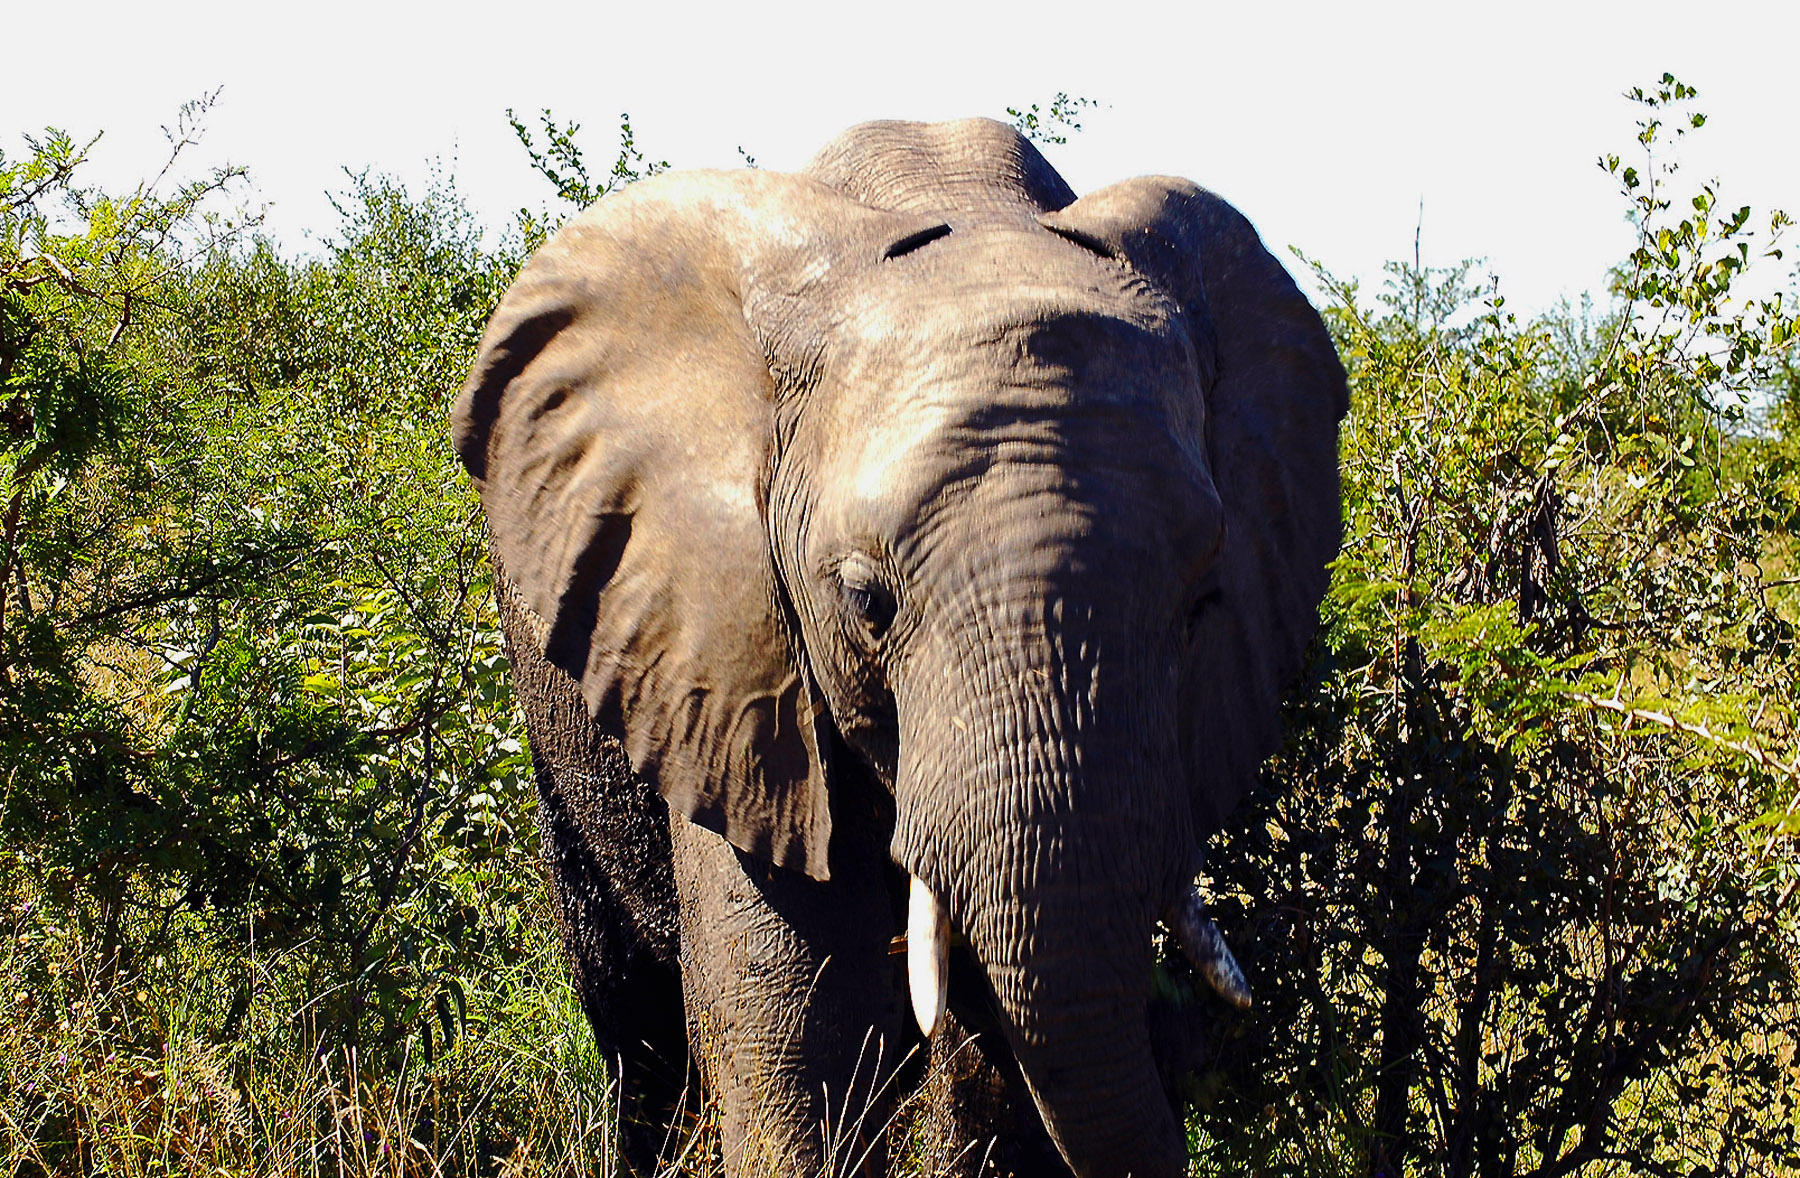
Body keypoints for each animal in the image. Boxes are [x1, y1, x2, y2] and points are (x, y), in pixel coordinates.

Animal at [451, 117, 1345, 1178]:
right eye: (865, 602)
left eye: (1204, 603)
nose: (1197, 1041)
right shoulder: (729, 660)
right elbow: (801, 1040)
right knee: (632, 1010)